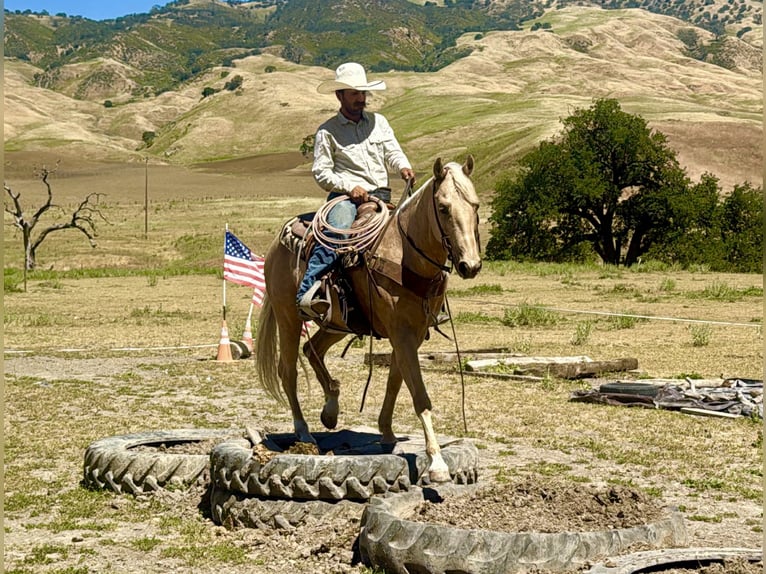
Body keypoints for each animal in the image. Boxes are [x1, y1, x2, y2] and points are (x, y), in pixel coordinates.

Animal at [254, 156, 481, 482]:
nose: (470, 265)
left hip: (337, 322)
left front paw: (386, 432)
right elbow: (419, 395)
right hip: (288, 317)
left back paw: (331, 408)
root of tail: (276, 243)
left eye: (475, 205)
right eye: (443, 207)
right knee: (288, 372)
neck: (405, 256)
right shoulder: (401, 335)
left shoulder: (410, 335)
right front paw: (437, 463)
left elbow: (395, 383)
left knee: (312, 349)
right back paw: (303, 430)